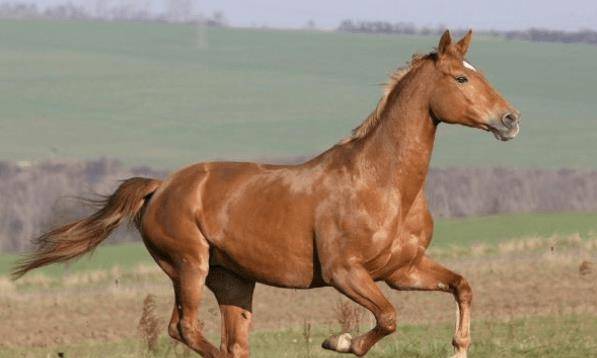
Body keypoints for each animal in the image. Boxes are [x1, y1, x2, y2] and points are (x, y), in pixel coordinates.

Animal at [11, 29, 520, 356]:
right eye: (461, 78)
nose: (511, 119)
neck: (384, 185)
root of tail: (160, 188)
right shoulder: (345, 272)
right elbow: (388, 318)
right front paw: (339, 341)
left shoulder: (402, 269)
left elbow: (461, 286)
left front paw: (459, 347)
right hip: (188, 267)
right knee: (186, 329)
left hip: (233, 281)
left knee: (232, 342)